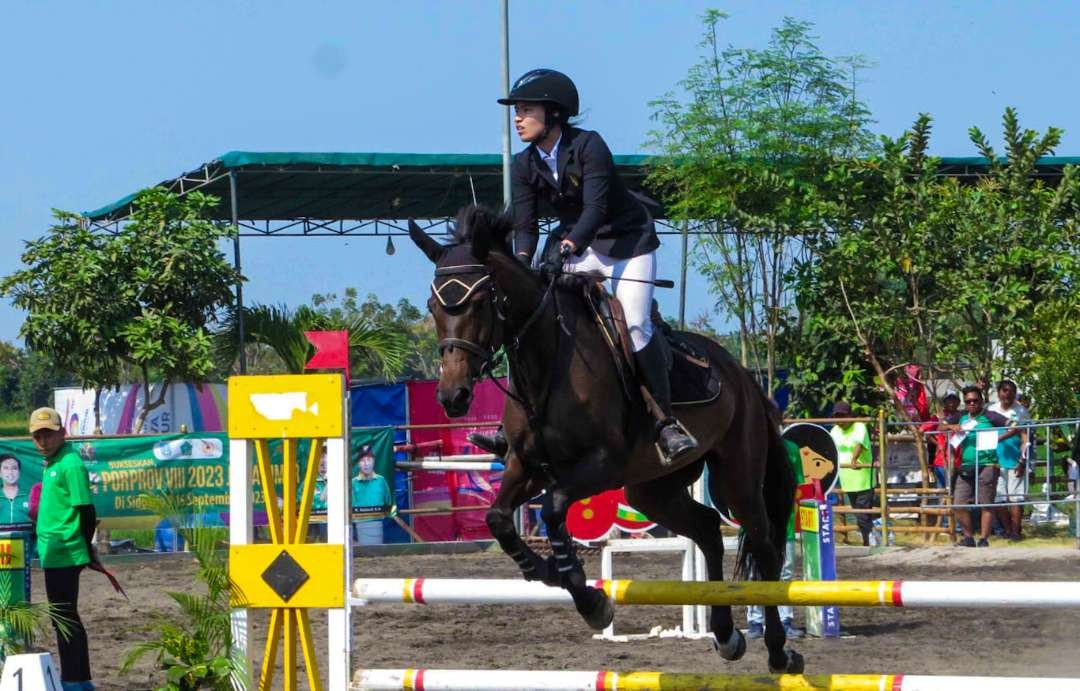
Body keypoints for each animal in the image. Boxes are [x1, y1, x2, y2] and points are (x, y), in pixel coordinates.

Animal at [408, 206, 807, 673]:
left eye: (478, 301)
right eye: (433, 306)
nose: (452, 397)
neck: (546, 364)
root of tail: (742, 373)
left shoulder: (601, 464)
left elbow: (554, 508)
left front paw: (587, 596)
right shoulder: (526, 465)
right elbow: (499, 519)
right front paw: (547, 572)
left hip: (737, 478)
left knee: (762, 545)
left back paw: (780, 651)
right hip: (652, 490)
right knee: (708, 530)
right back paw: (726, 637)